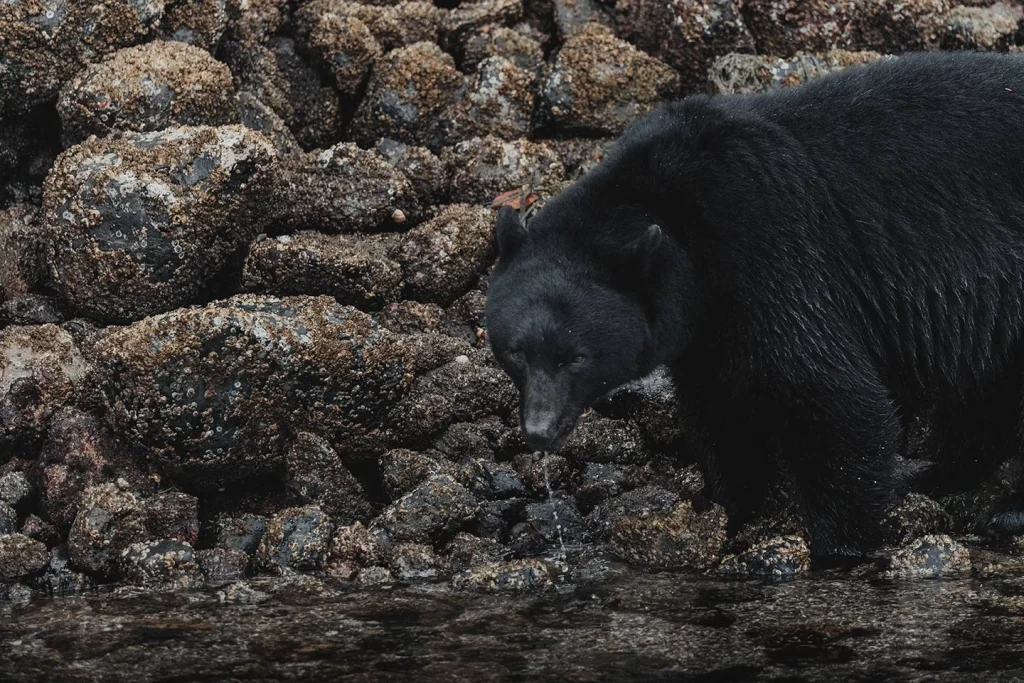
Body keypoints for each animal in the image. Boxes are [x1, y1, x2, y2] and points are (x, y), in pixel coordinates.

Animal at [484, 51, 1024, 563]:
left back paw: (1003, 510)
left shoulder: (770, 250)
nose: (538, 430)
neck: (677, 223)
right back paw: (938, 475)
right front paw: (734, 505)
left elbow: (836, 399)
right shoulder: (706, 325)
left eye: (575, 357)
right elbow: (721, 409)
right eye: (516, 353)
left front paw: (838, 545)